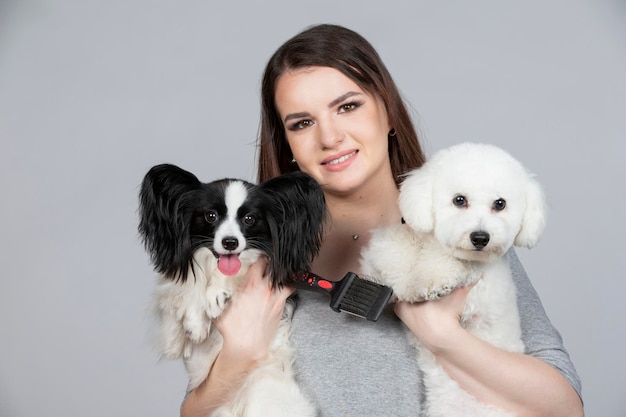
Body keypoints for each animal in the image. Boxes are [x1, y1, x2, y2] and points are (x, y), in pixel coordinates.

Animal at [138, 164, 324, 414]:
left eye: (249, 219)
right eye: (211, 216)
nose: (230, 243)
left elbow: (237, 275)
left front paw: (215, 294)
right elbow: (179, 293)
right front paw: (191, 323)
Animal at [360, 141, 544, 414]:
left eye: (500, 204)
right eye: (459, 200)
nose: (480, 237)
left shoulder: (476, 289)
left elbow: (444, 262)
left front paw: (429, 280)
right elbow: (393, 246)